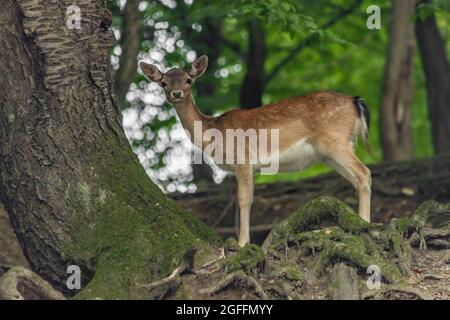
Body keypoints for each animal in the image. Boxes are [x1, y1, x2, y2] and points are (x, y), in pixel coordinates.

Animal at [141, 55, 372, 246]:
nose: (176, 93)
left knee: (364, 172)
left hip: (335, 140)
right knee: (356, 178)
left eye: (189, 79)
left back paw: (364, 223)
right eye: (163, 82)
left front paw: (243, 243)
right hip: (330, 152)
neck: (213, 133)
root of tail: (355, 101)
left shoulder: (243, 159)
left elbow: (244, 199)